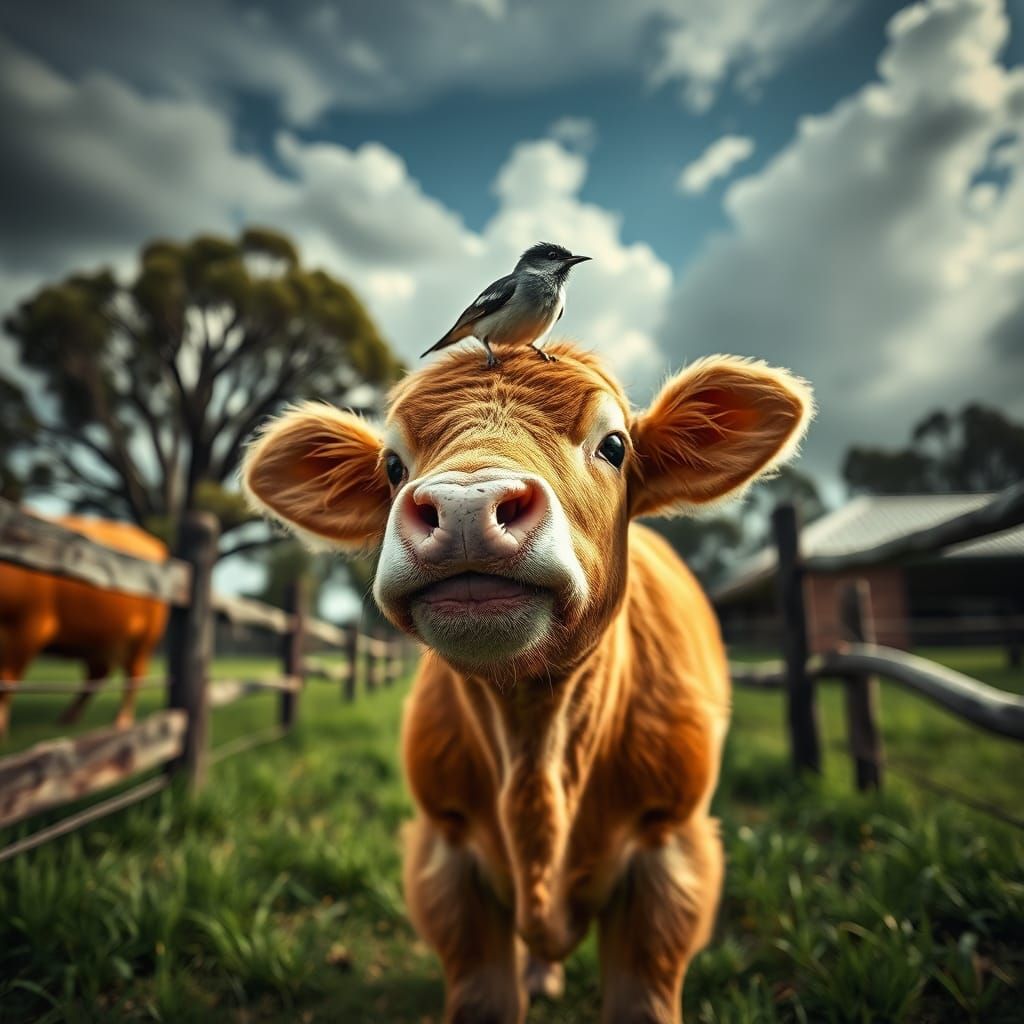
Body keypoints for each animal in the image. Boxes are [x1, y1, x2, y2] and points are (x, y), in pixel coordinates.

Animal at [0, 516, 169, 740]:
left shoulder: (31, 625)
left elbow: (7, 677)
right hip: (101, 639)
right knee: (99, 673)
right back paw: (68, 717)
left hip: (142, 641)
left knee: (134, 676)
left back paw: (122, 721)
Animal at [242, 341, 812, 1023]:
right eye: (392, 465)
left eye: (614, 445)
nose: (465, 508)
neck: (535, 738)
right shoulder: (446, 853)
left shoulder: (670, 850)